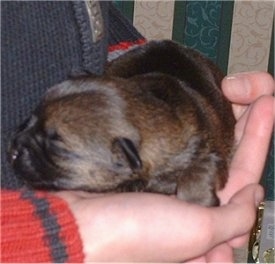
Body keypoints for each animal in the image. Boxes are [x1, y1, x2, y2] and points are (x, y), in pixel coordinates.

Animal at [9, 40, 237, 206]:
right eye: (30, 119)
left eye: (57, 146)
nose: (12, 149)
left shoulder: (209, 154)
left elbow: (195, 173)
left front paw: (199, 199)